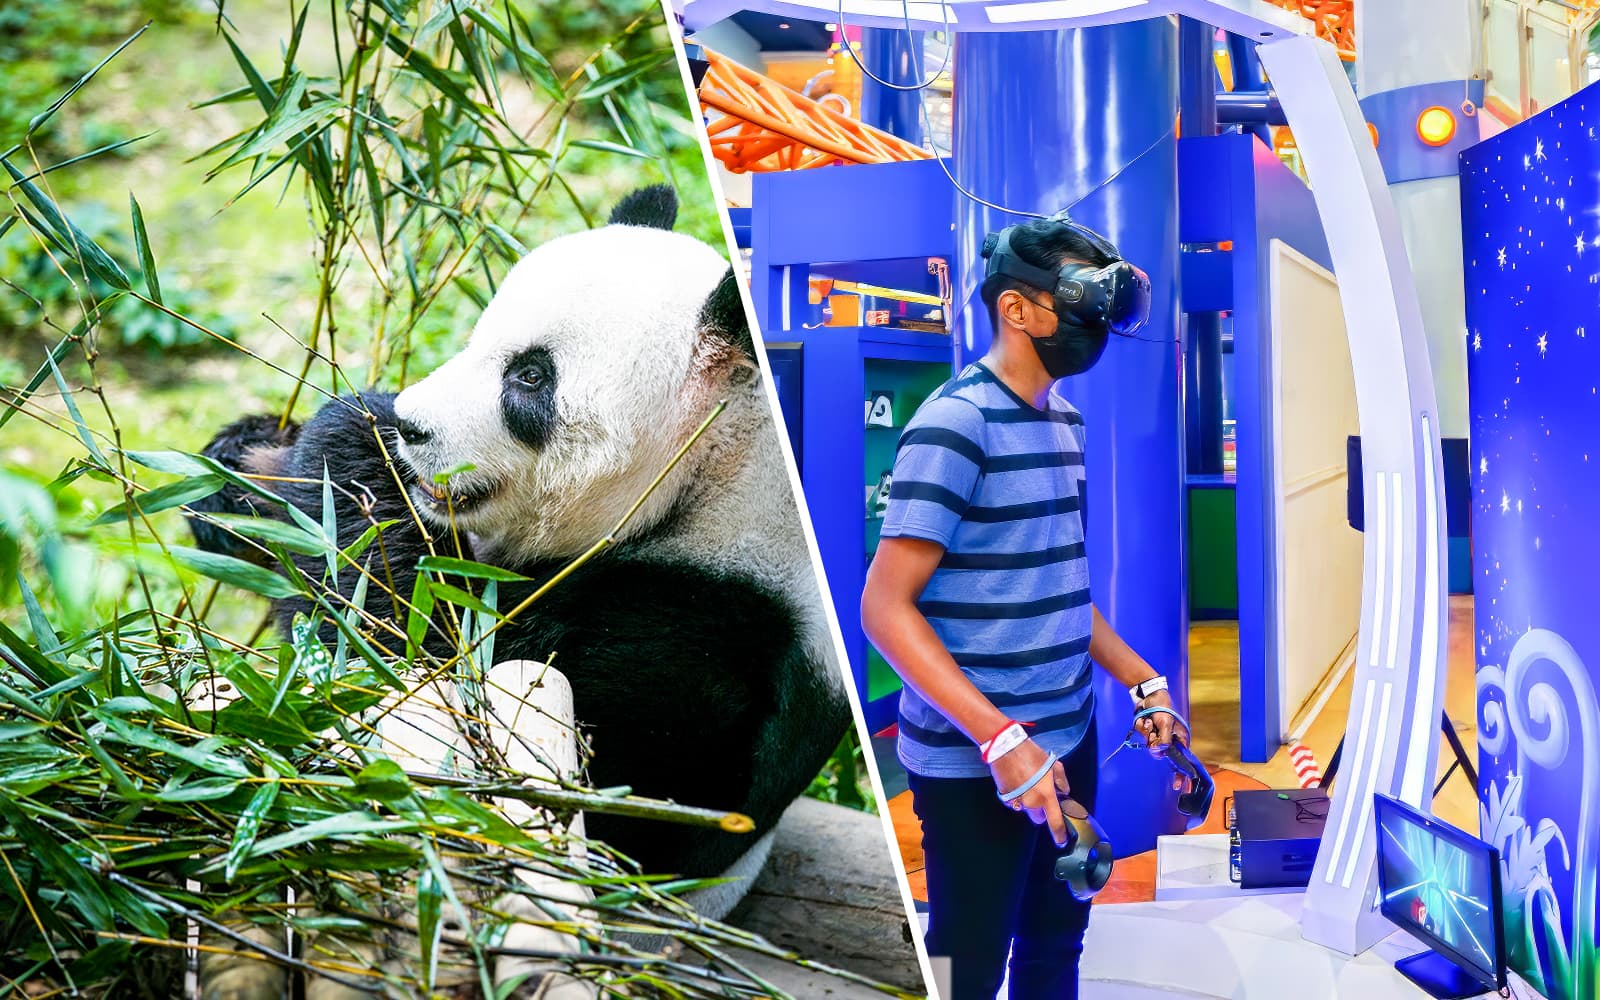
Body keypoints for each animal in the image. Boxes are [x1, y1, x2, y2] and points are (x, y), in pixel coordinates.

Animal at [189, 185, 850, 895]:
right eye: (477, 339)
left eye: (531, 378)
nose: (411, 426)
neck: (717, 479)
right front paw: (234, 468)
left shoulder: (704, 645)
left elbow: (422, 672)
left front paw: (351, 434)